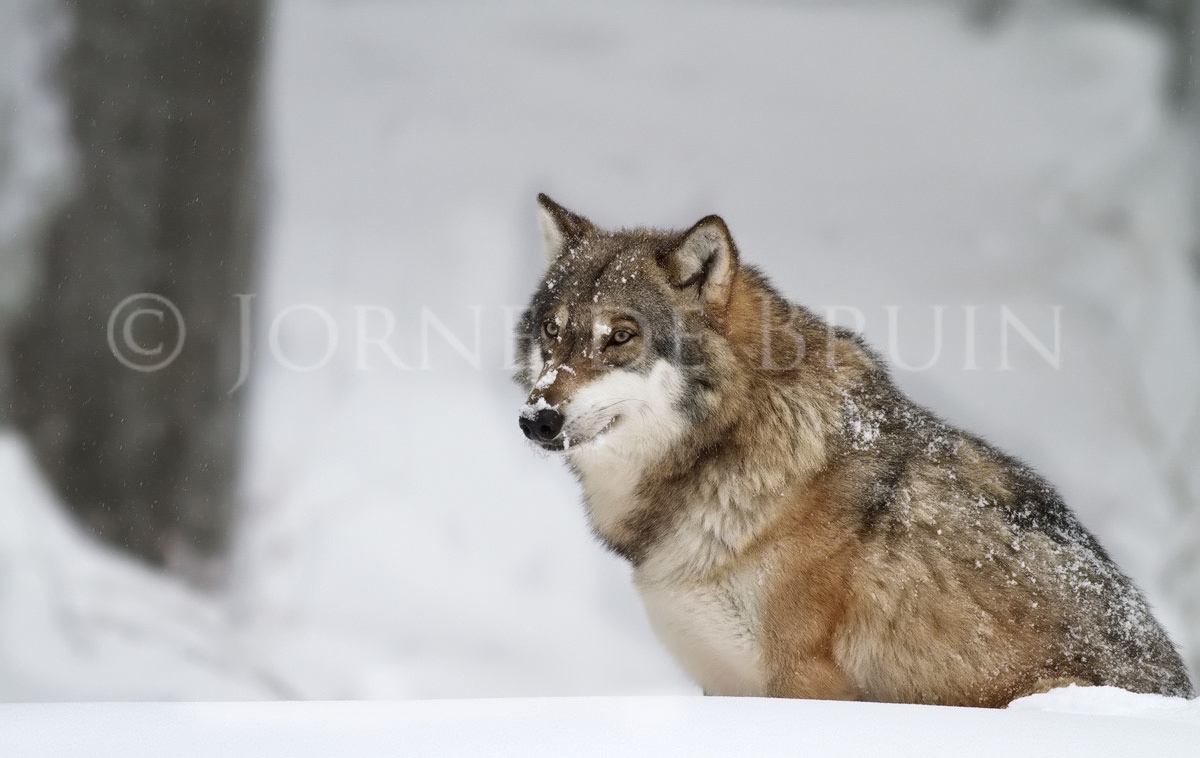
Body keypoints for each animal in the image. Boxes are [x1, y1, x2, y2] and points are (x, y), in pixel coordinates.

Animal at [514, 194, 1194, 707]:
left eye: (620, 337)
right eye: (553, 332)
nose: (536, 420)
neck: (731, 452)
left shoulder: (803, 678)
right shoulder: (725, 685)